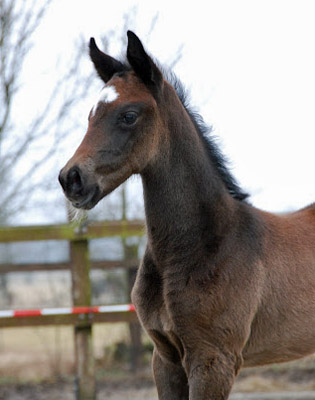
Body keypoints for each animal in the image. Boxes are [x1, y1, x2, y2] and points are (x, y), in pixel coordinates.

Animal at [59, 32, 315, 400]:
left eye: (128, 115)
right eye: (91, 114)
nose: (72, 179)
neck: (203, 244)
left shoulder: (212, 360)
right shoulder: (165, 358)